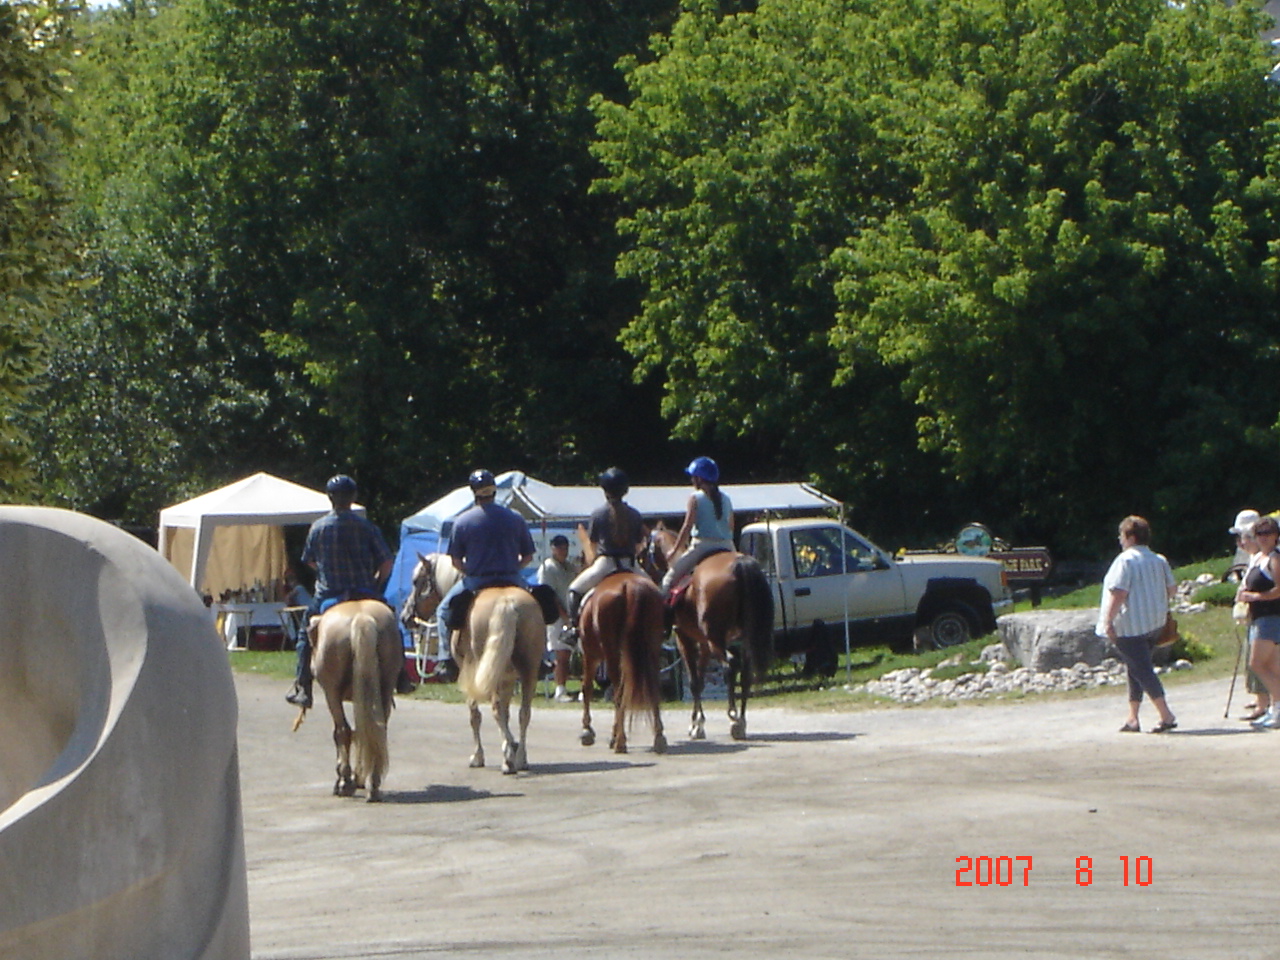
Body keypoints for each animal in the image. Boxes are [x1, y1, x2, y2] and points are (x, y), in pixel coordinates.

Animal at [293, 601, 401, 803]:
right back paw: (372, 784)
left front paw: (346, 781)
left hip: (332, 693)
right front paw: (359, 777)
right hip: (385, 688)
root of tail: (362, 617)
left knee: (342, 731)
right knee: (376, 730)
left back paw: (345, 783)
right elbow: (362, 732)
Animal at [404, 555, 545, 773]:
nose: (405, 617)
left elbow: (475, 714)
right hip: (528, 669)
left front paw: (479, 756)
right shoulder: (509, 677)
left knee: (496, 709)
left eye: (416, 581)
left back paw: (508, 760)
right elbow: (508, 713)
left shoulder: (468, 671)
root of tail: (506, 603)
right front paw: (512, 744)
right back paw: (520, 758)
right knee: (524, 712)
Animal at [581, 568, 670, 757]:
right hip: (652, 650)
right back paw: (659, 737)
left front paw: (587, 731)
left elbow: (587, 688)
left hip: (611, 653)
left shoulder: (590, 654)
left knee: (619, 693)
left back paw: (620, 742)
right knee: (653, 689)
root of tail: (631, 587)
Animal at [645, 527, 773, 742]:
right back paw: (742, 721)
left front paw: (695, 725)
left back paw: (734, 718)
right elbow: (701, 681)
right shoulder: (703, 643)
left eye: (645, 551)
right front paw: (699, 723)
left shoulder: (685, 639)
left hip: (716, 640)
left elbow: (694, 682)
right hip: (740, 639)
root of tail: (739, 564)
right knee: (745, 673)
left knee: (730, 666)